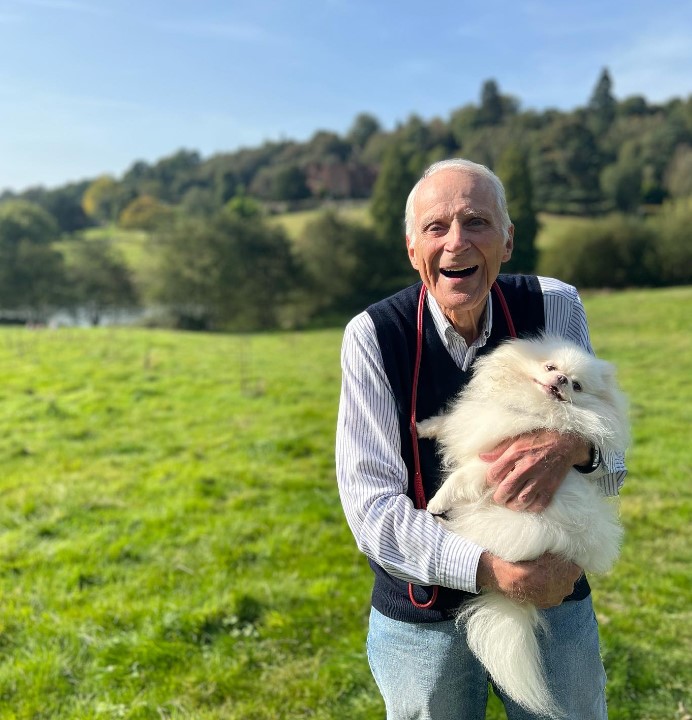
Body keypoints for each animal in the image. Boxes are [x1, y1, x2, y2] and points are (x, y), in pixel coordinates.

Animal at [418, 334, 628, 716]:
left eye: (576, 385)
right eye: (551, 367)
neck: (531, 407)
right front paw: (423, 426)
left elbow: (462, 477)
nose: (561, 381)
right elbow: (450, 420)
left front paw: (437, 501)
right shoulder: (482, 426)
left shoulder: (499, 461)